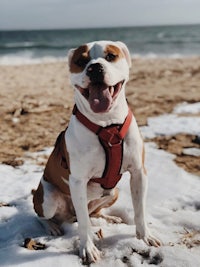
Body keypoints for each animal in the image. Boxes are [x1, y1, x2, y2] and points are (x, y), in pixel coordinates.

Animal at [32, 40, 161, 264]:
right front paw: (88, 248)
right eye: (81, 61)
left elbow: (140, 210)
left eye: (111, 56)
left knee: (93, 212)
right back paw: (52, 227)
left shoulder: (138, 172)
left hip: (113, 192)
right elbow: (83, 223)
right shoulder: (78, 181)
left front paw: (145, 236)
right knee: (43, 215)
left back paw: (109, 217)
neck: (107, 124)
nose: (94, 68)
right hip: (48, 198)